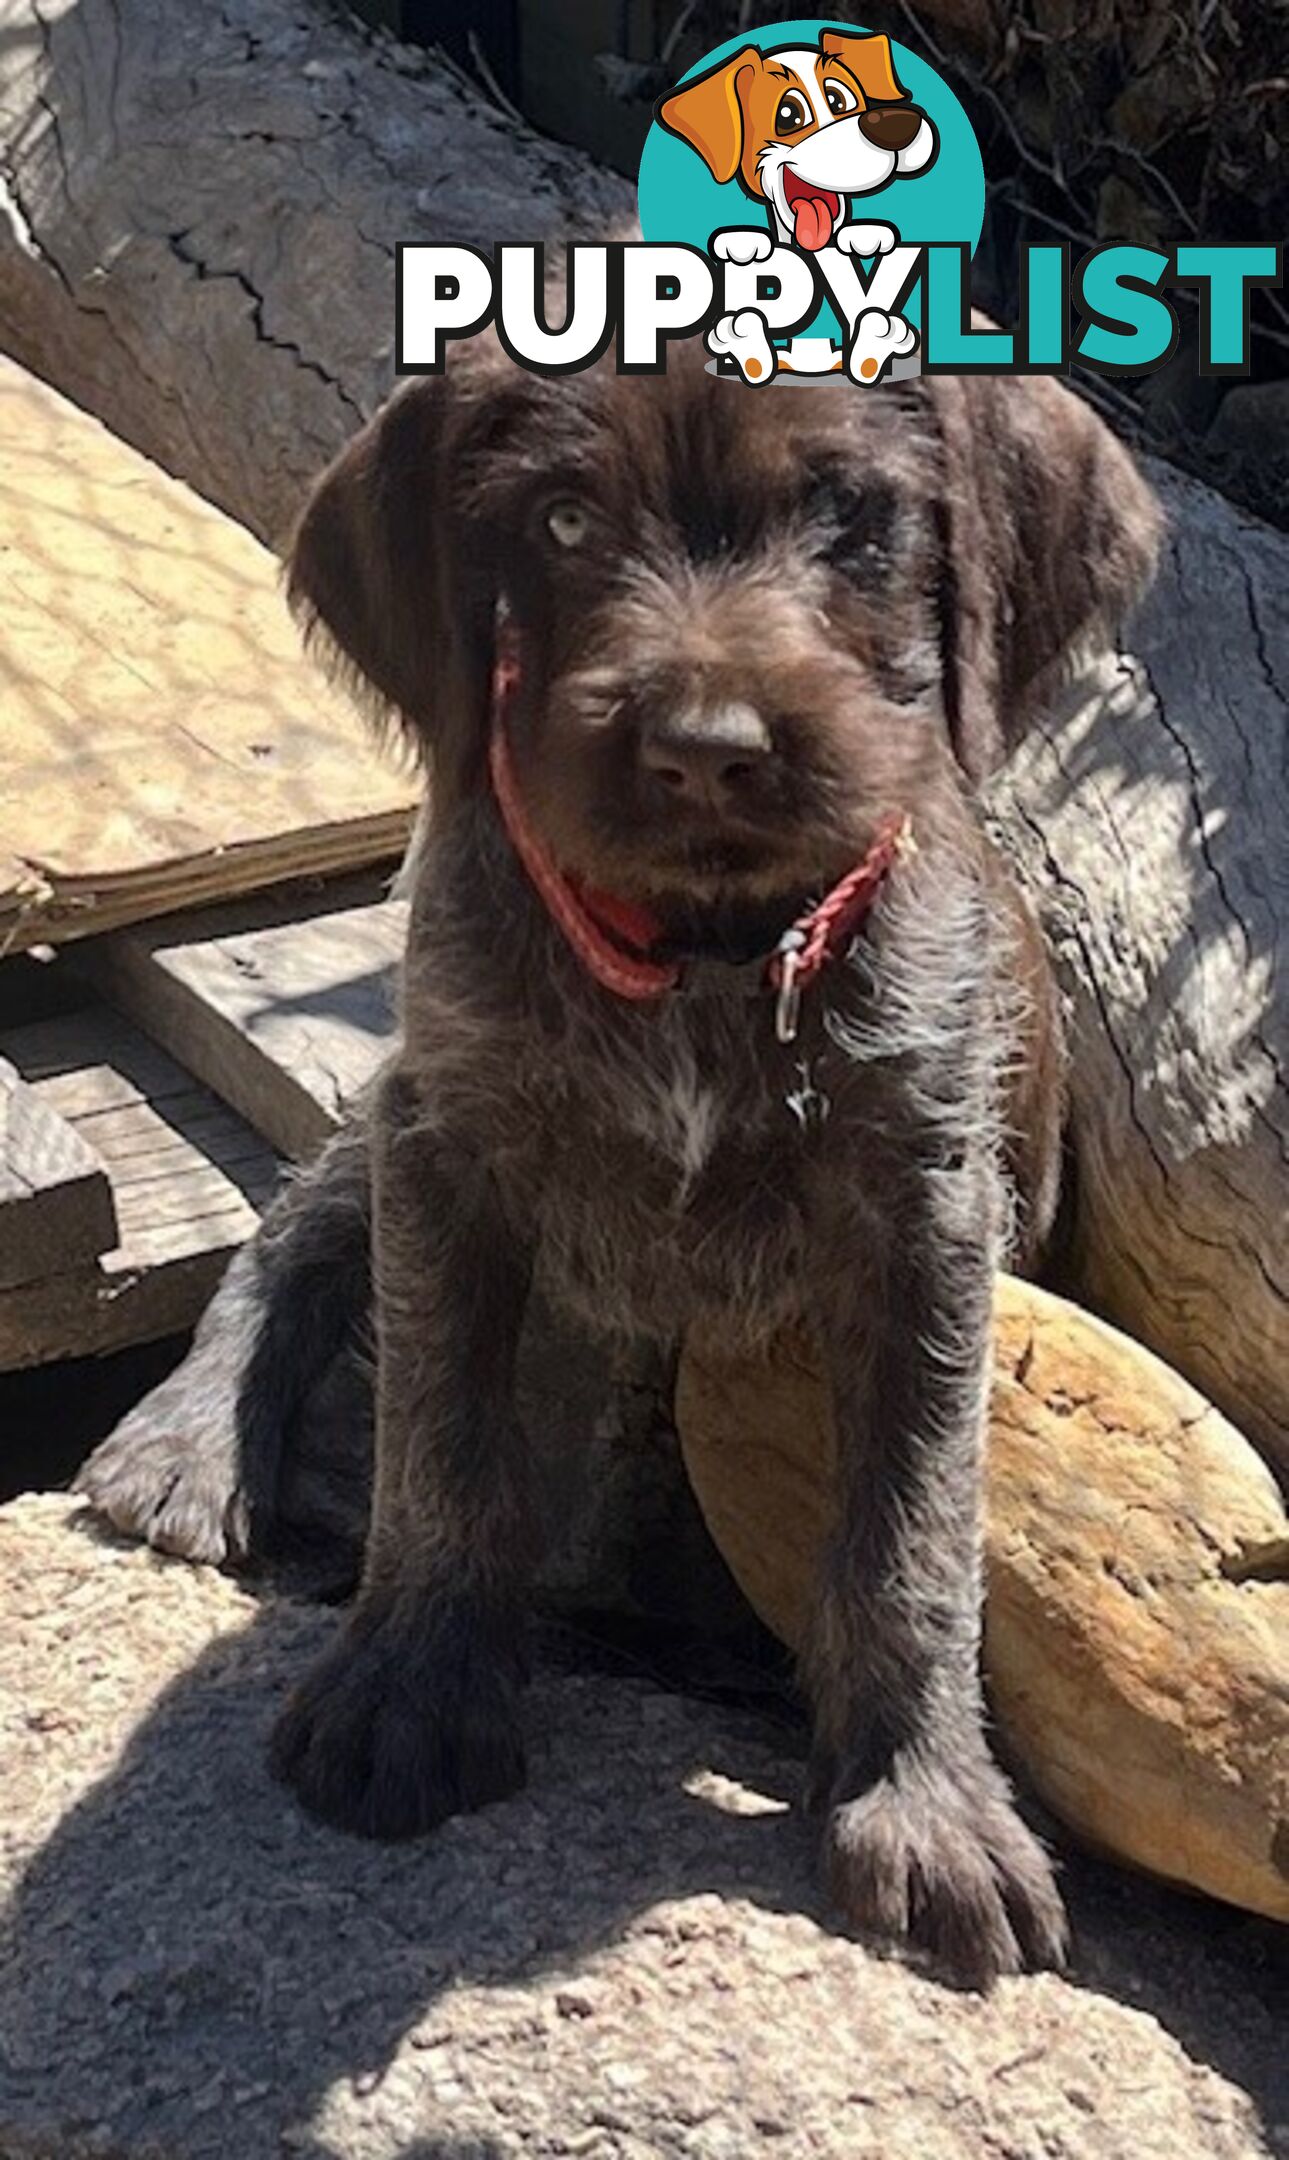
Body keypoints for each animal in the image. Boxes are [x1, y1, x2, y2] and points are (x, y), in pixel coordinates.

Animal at [80, 354, 1157, 1987]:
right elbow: (439, 1447)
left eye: (846, 511)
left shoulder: (924, 1217)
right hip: (400, 1088)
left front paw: (921, 1800)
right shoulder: (451, 1142)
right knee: (299, 1232)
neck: (708, 957)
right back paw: (192, 1438)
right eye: (564, 520)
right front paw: (409, 1684)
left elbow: (912, 1531)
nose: (705, 749)